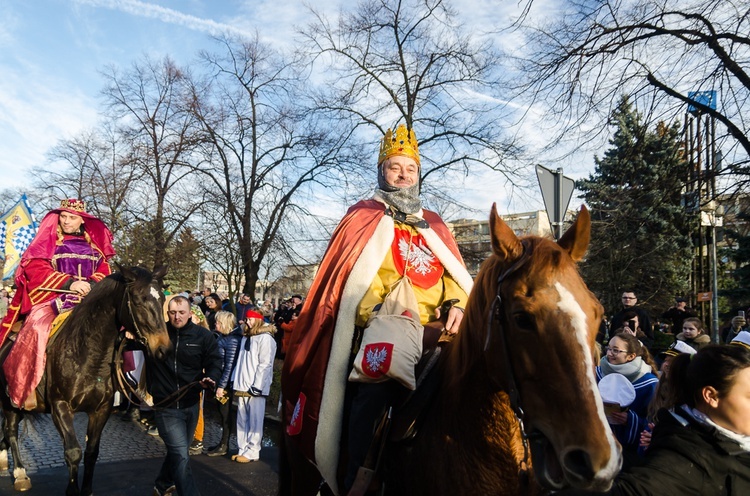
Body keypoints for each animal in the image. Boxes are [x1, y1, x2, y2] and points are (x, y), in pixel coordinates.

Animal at [0, 268, 171, 496]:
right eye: (137, 300)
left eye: (162, 299)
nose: (163, 349)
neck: (87, 353)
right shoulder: (60, 406)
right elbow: (73, 451)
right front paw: (72, 489)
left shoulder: (101, 409)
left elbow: (91, 452)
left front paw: (87, 489)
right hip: (9, 401)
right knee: (10, 431)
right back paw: (19, 473)